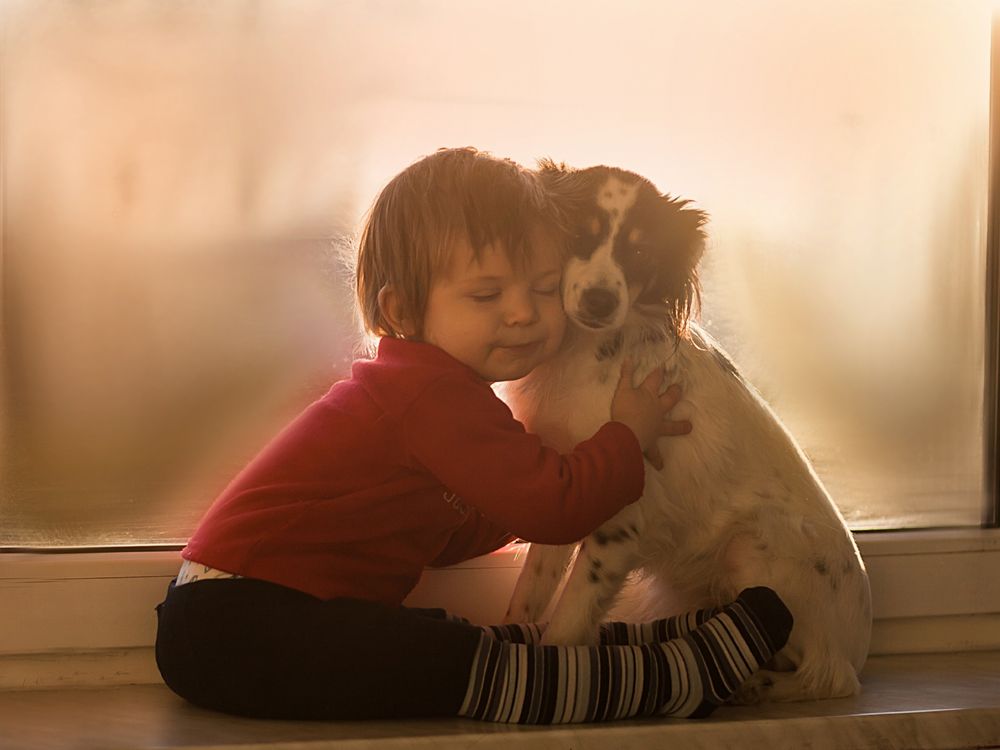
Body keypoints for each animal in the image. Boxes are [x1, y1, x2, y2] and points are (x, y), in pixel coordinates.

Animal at [504, 162, 872, 704]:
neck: (597, 353)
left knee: (827, 675)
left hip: (751, 548)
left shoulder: (620, 526)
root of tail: (860, 643)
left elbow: (568, 623)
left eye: (640, 252)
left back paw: (749, 683)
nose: (600, 299)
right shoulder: (565, 495)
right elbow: (528, 597)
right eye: (578, 234)